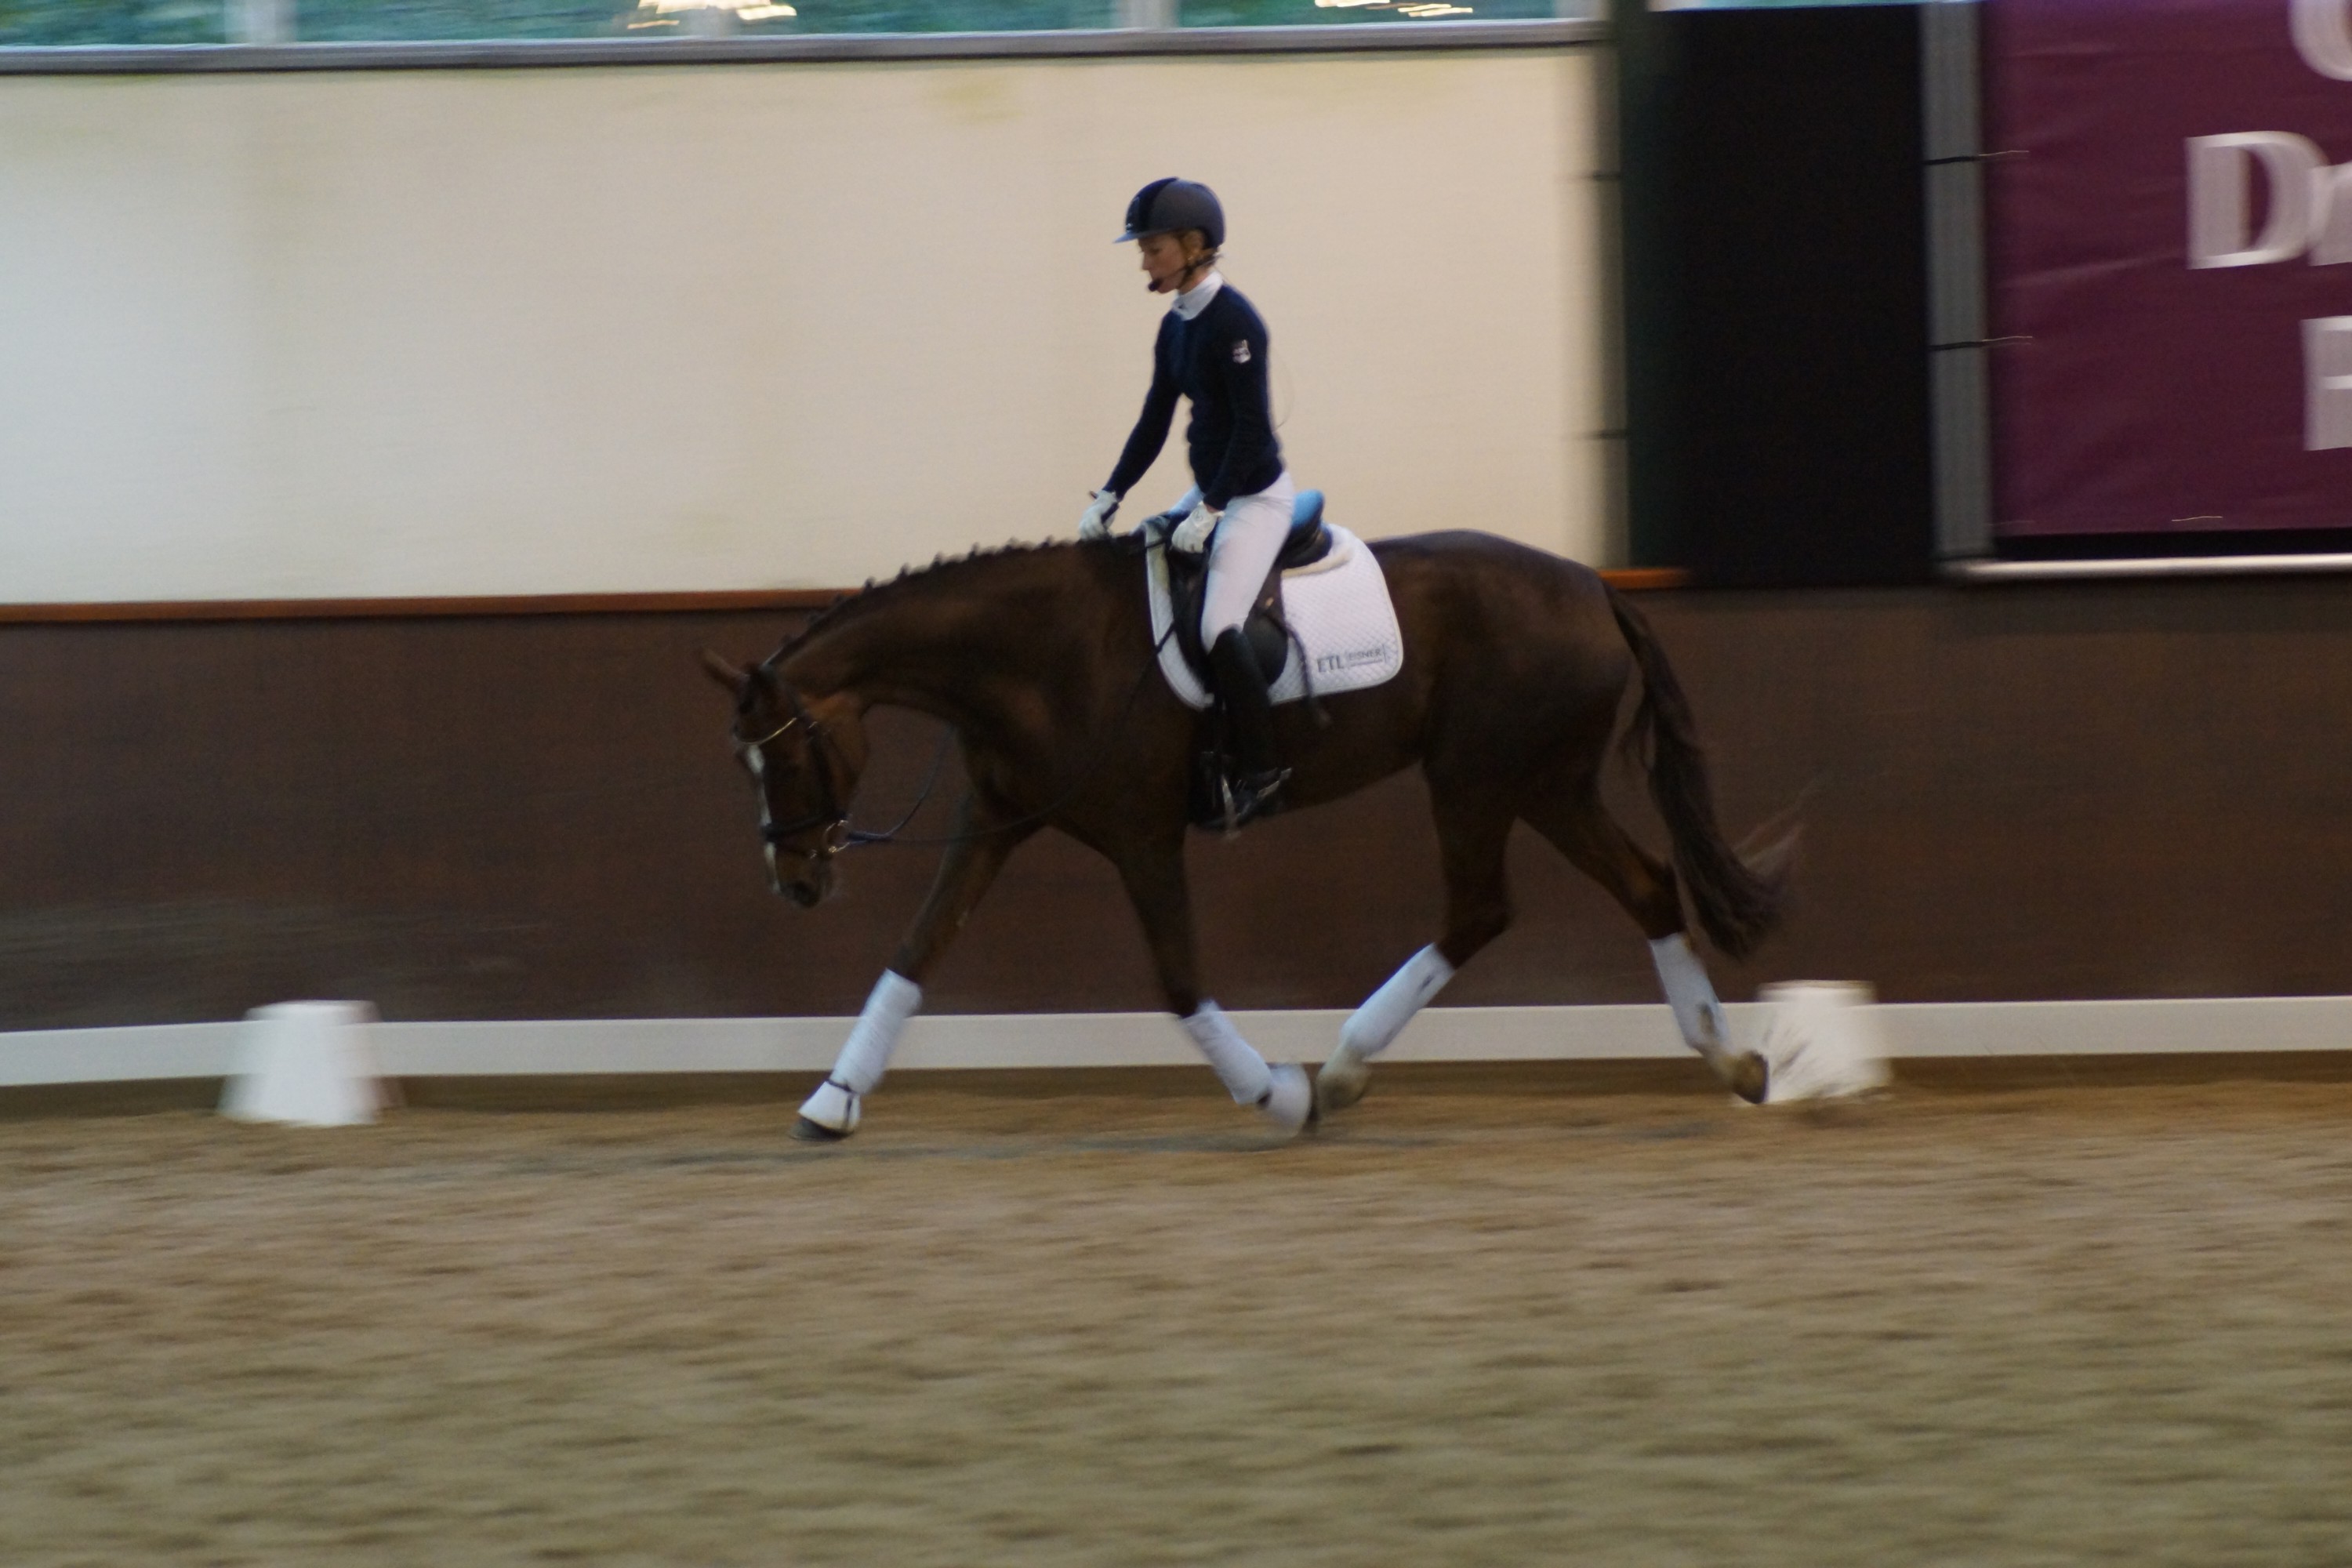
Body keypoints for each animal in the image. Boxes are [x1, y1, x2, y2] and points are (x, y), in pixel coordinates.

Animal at [696, 526, 1778, 1142]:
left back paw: (1337, 1072)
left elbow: (1180, 983)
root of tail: (1593, 585)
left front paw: (1277, 1096)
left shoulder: (1141, 835)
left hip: (1479, 776)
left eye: (781, 758)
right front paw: (833, 1099)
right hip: (1544, 782)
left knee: (1481, 907)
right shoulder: (995, 820)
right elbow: (914, 954)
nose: (793, 879)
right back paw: (1731, 1060)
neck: (1040, 655)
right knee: (1645, 885)